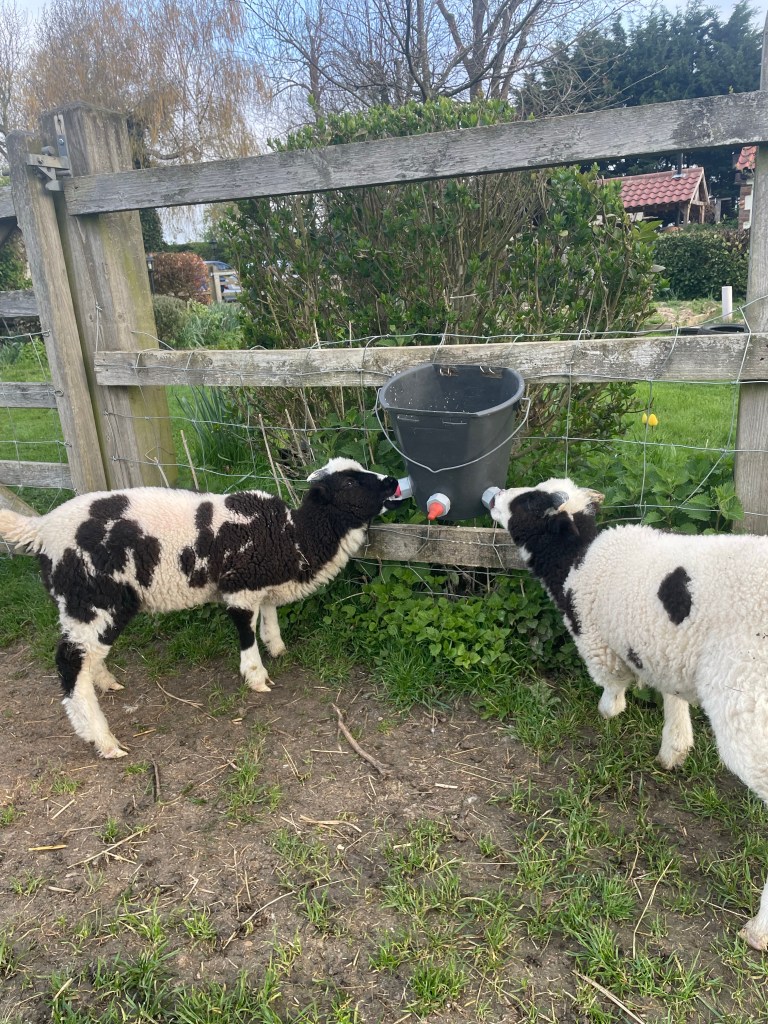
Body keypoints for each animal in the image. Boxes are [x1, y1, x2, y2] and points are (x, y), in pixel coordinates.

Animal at [0, 457, 398, 761]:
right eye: (349, 482)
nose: (393, 481)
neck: (291, 536)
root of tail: (42, 529)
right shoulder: (240, 586)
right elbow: (246, 632)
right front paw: (257, 677)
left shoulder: (261, 582)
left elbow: (269, 617)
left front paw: (278, 648)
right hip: (94, 598)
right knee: (70, 662)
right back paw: (103, 739)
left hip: (86, 606)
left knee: (86, 656)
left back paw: (105, 682)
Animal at [489, 477, 768, 950]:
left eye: (528, 502)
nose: (491, 496)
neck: (578, 558)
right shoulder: (666, 646)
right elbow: (672, 694)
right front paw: (674, 749)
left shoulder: (597, 639)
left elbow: (613, 684)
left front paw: (609, 711)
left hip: (750, 705)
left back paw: (758, 930)